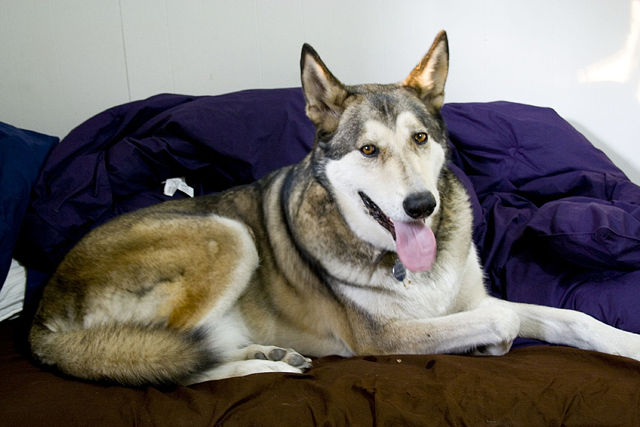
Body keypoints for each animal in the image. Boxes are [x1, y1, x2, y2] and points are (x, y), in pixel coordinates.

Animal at [29, 31, 640, 386]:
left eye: (421, 138)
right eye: (368, 150)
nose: (421, 206)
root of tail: (43, 314)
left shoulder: (470, 299)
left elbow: (573, 318)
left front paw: (627, 343)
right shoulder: (383, 340)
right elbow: (504, 319)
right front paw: (494, 344)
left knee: (183, 355)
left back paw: (273, 356)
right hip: (228, 235)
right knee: (169, 367)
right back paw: (265, 365)